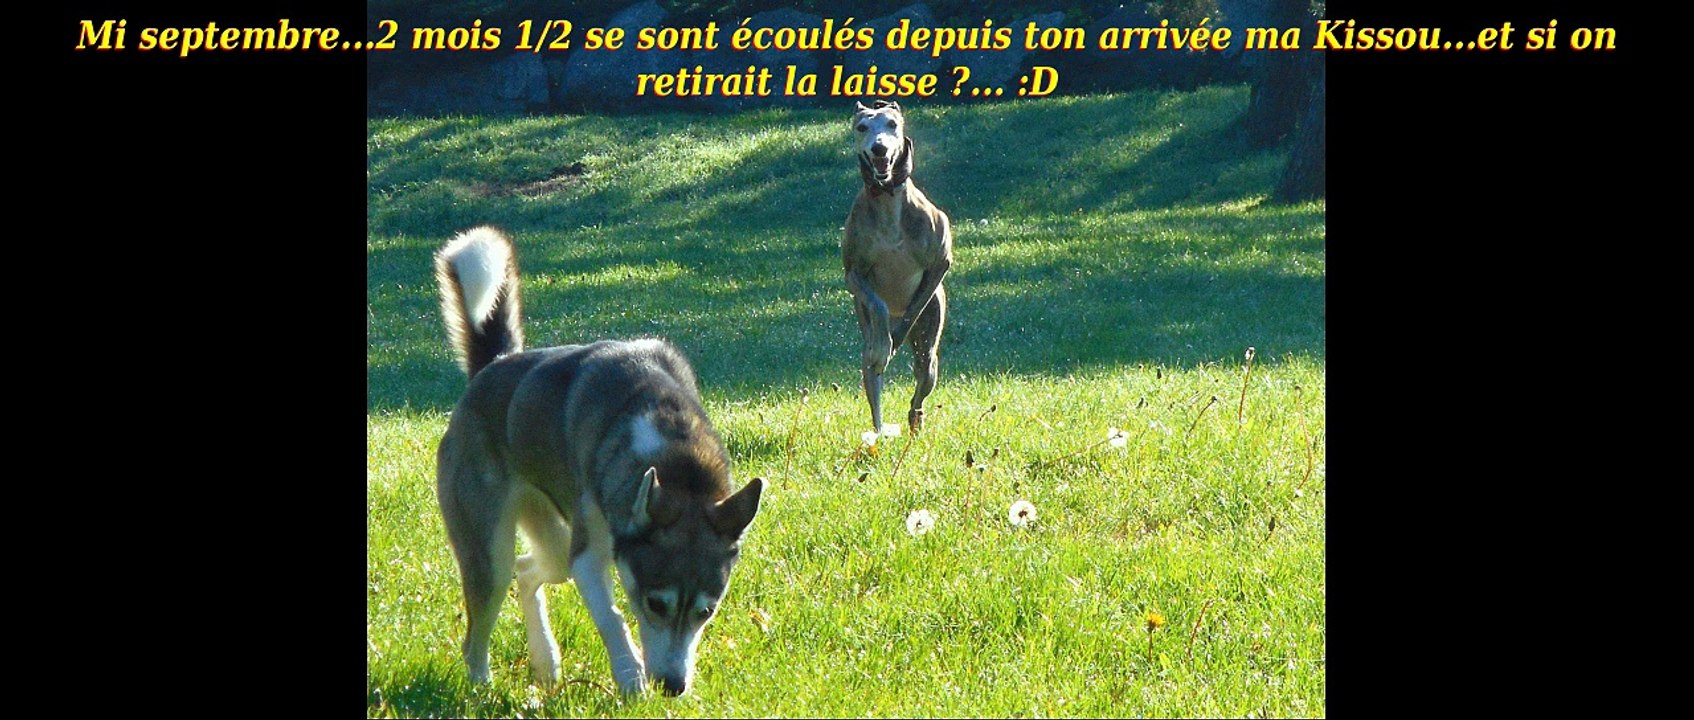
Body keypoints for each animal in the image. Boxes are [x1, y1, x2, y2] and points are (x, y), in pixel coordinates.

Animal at [432, 226, 764, 696]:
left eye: (707, 611)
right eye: (655, 603)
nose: (673, 686)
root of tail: (493, 366)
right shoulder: (587, 558)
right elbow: (612, 617)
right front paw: (630, 676)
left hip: (551, 544)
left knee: (528, 570)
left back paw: (545, 661)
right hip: (489, 553)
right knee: (481, 623)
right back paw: (482, 687)